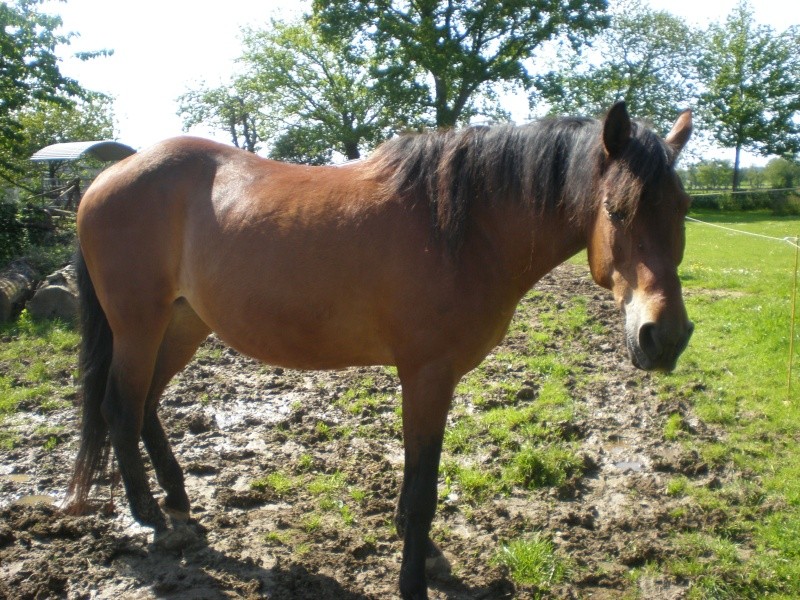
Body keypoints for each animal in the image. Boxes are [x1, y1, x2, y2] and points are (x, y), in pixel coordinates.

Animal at [67, 103, 692, 600]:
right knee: (120, 408)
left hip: (182, 323)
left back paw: (176, 499)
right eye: (617, 210)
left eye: (682, 209)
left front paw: (423, 552)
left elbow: (417, 476)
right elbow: (423, 488)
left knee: (146, 405)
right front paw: (414, 580)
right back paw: (152, 518)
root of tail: (106, 177)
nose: (664, 336)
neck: (464, 229)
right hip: (139, 326)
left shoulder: (431, 379)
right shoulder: (427, 375)